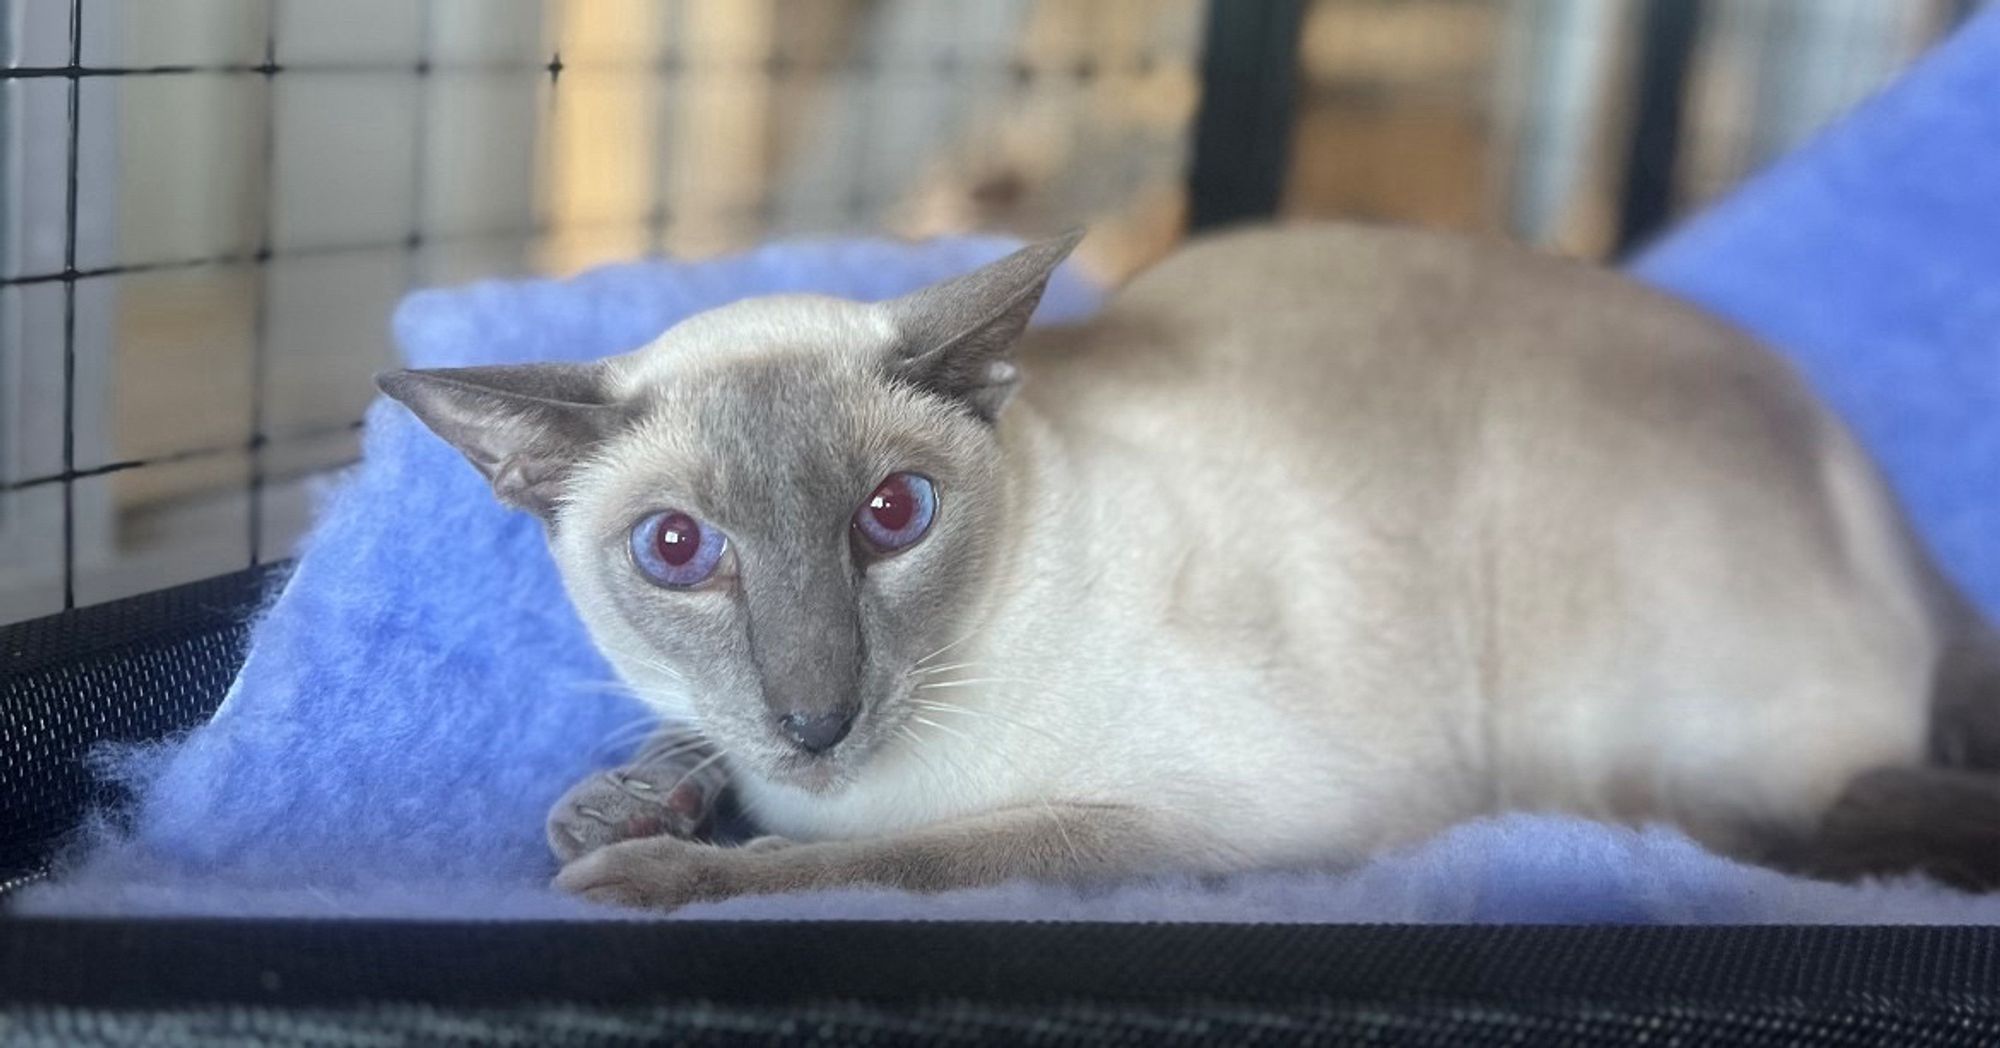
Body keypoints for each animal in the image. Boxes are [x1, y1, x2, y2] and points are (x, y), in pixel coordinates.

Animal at [378, 223, 2000, 908]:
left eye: (894, 516)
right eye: (677, 552)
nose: (814, 717)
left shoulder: (1216, 813)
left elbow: (906, 858)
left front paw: (652, 870)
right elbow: (688, 766)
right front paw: (622, 804)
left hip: (1616, 729)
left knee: (1799, 816)